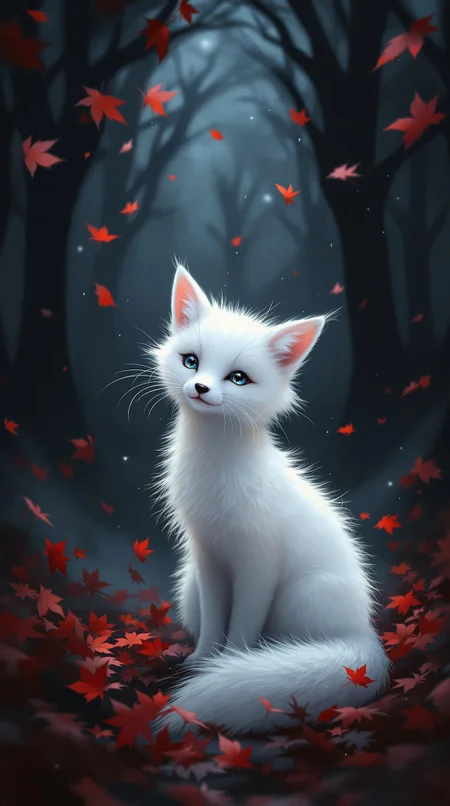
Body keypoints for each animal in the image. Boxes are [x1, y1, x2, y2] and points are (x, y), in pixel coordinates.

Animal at [148, 264, 391, 735]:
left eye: (238, 378)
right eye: (191, 361)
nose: (199, 387)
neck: (214, 469)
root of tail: (363, 635)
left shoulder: (259, 563)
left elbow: (242, 627)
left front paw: (229, 666)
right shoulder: (207, 557)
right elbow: (215, 622)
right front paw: (203, 662)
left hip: (298, 595)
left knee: (282, 641)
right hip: (188, 585)